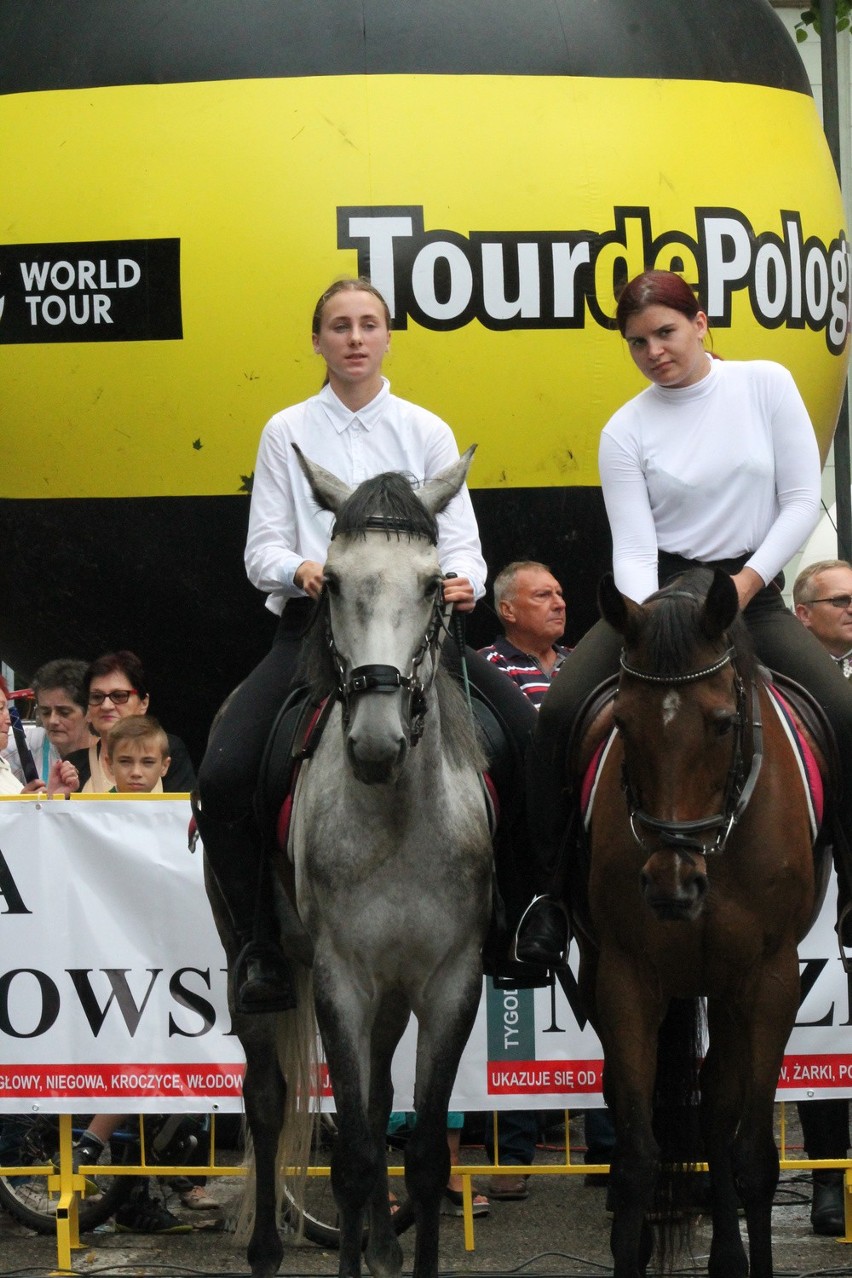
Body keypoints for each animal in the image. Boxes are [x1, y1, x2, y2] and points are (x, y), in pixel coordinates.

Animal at [572, 569, 832, 1278]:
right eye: (623, 725)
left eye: (721, 724)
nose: (672, 885)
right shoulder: (627, 979)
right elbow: (638, 1156)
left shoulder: (769, 980)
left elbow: (755, 1156)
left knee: (716, 1106)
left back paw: (726, 1256)